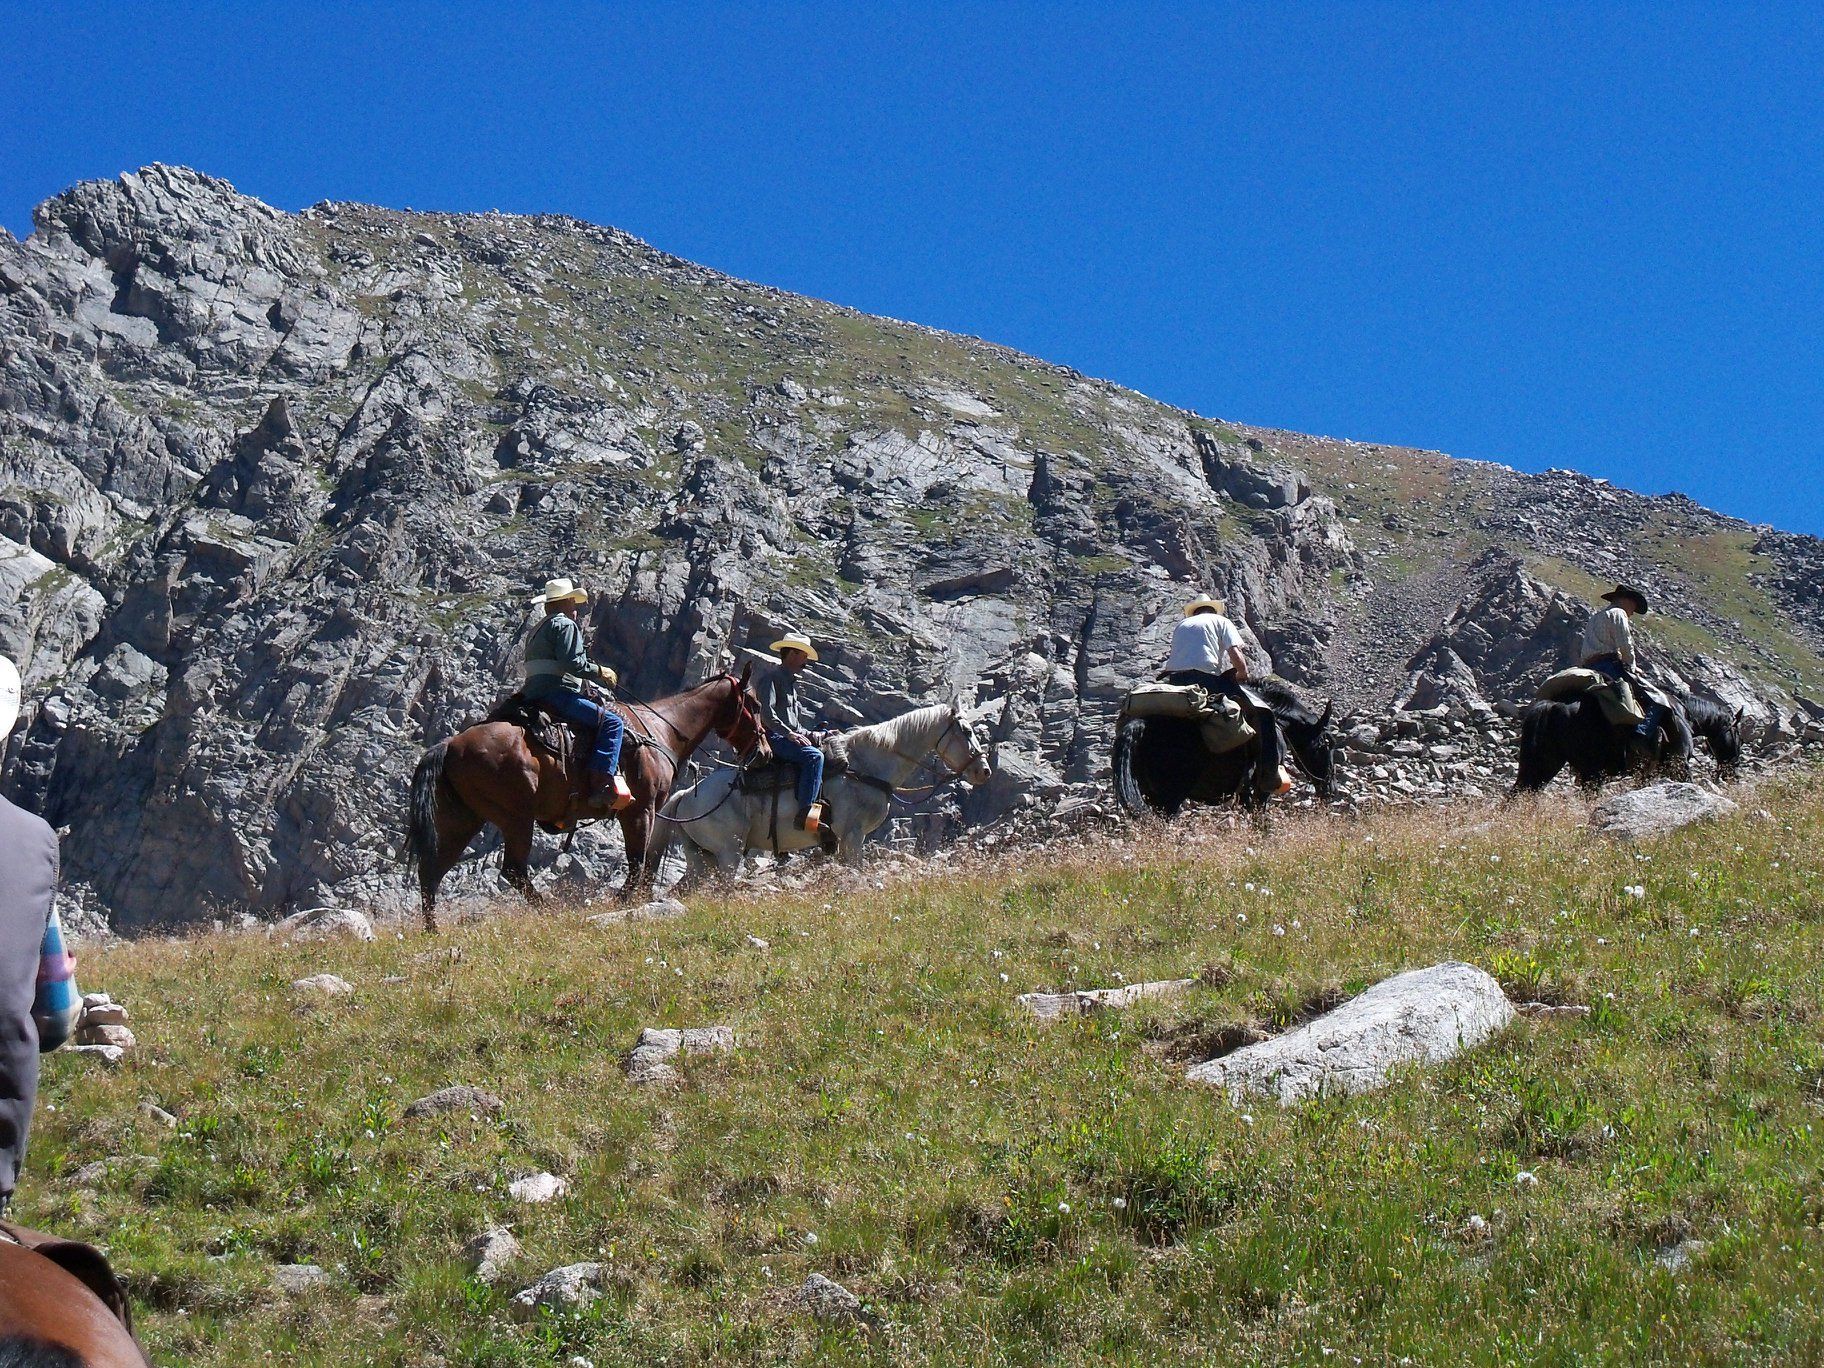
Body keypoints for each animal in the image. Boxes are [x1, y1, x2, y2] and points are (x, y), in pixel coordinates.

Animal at [405, 669, 769, 930]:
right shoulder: (641, 810)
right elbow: (640, 861)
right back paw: (549, 911)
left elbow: (644, 861)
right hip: (516, 818)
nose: (764, 752)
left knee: (432, 870)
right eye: (755, 706)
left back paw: (432, 929)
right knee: (513, 870)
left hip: (464, 820)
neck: (660, 731)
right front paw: (628, 901)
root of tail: (451, 744)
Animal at [659, 701, 993, 882]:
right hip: (728, 854)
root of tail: (686, 796)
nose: (984, 771)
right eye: (967, 732)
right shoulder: (853, 836)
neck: (865, 766)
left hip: (702, 858)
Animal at [1112, 678, 1336, 817]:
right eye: (1327, 743)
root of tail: (1140, 724)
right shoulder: (1261, 788)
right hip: (1169, 798)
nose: (1331, 789)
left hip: (1150, 794)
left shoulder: (1245, 788)